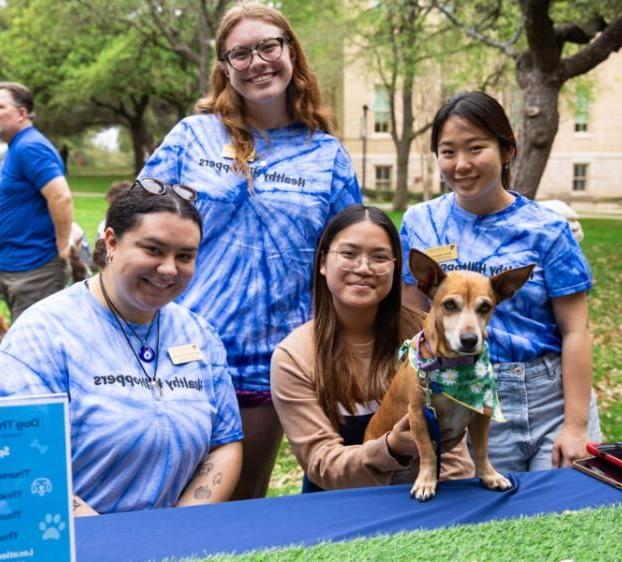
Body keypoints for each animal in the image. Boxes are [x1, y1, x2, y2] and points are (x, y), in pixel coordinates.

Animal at [366, 249, 536, 498]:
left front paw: (489, 475)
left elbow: (482, 450)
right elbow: (427, 451)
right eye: (450, 305)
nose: (469, 340)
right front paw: (426, 481)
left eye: (485, 307)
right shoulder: (418, 415)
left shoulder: (481, 416)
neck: (455, 366)